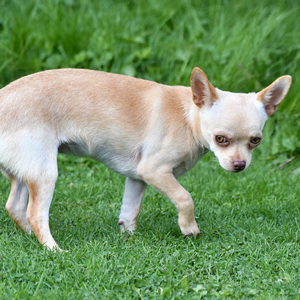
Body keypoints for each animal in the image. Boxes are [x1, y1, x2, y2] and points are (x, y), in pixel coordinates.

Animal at [0, 68, 290, 251]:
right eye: (221, 139)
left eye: (255, 141)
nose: (239, 165)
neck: (187, 116)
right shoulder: (155, 171)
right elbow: (185, 197)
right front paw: (189, 228)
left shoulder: (137, 177)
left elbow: (130, 211)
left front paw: (129, 238)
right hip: (45, 171)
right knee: (36, 214)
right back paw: (53, 249)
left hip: (26, 171)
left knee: (14, 206)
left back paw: (30, 238)